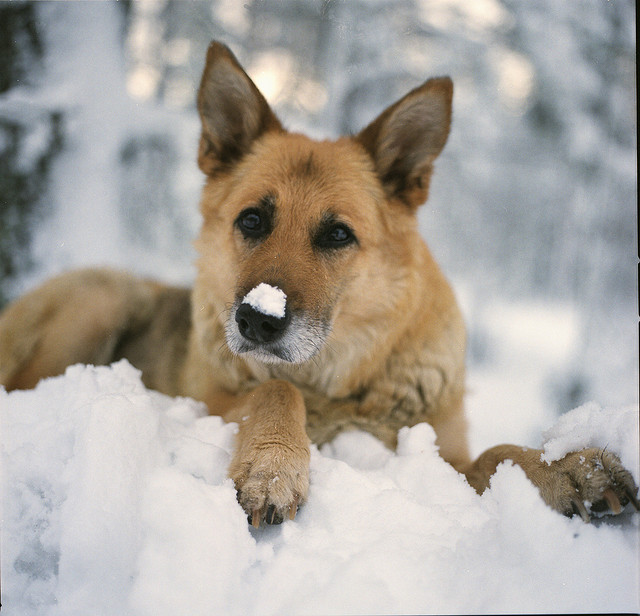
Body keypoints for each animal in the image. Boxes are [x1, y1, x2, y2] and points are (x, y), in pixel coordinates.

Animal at [1, 41, 637, 527]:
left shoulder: (441, 451)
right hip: (105, 296)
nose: (257, 321)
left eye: (336, 234)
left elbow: (495, 453)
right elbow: (275, 391)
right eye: (251, 221)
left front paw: (566, 467)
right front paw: (273, 466)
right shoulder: (219, 400)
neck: (337, 384)